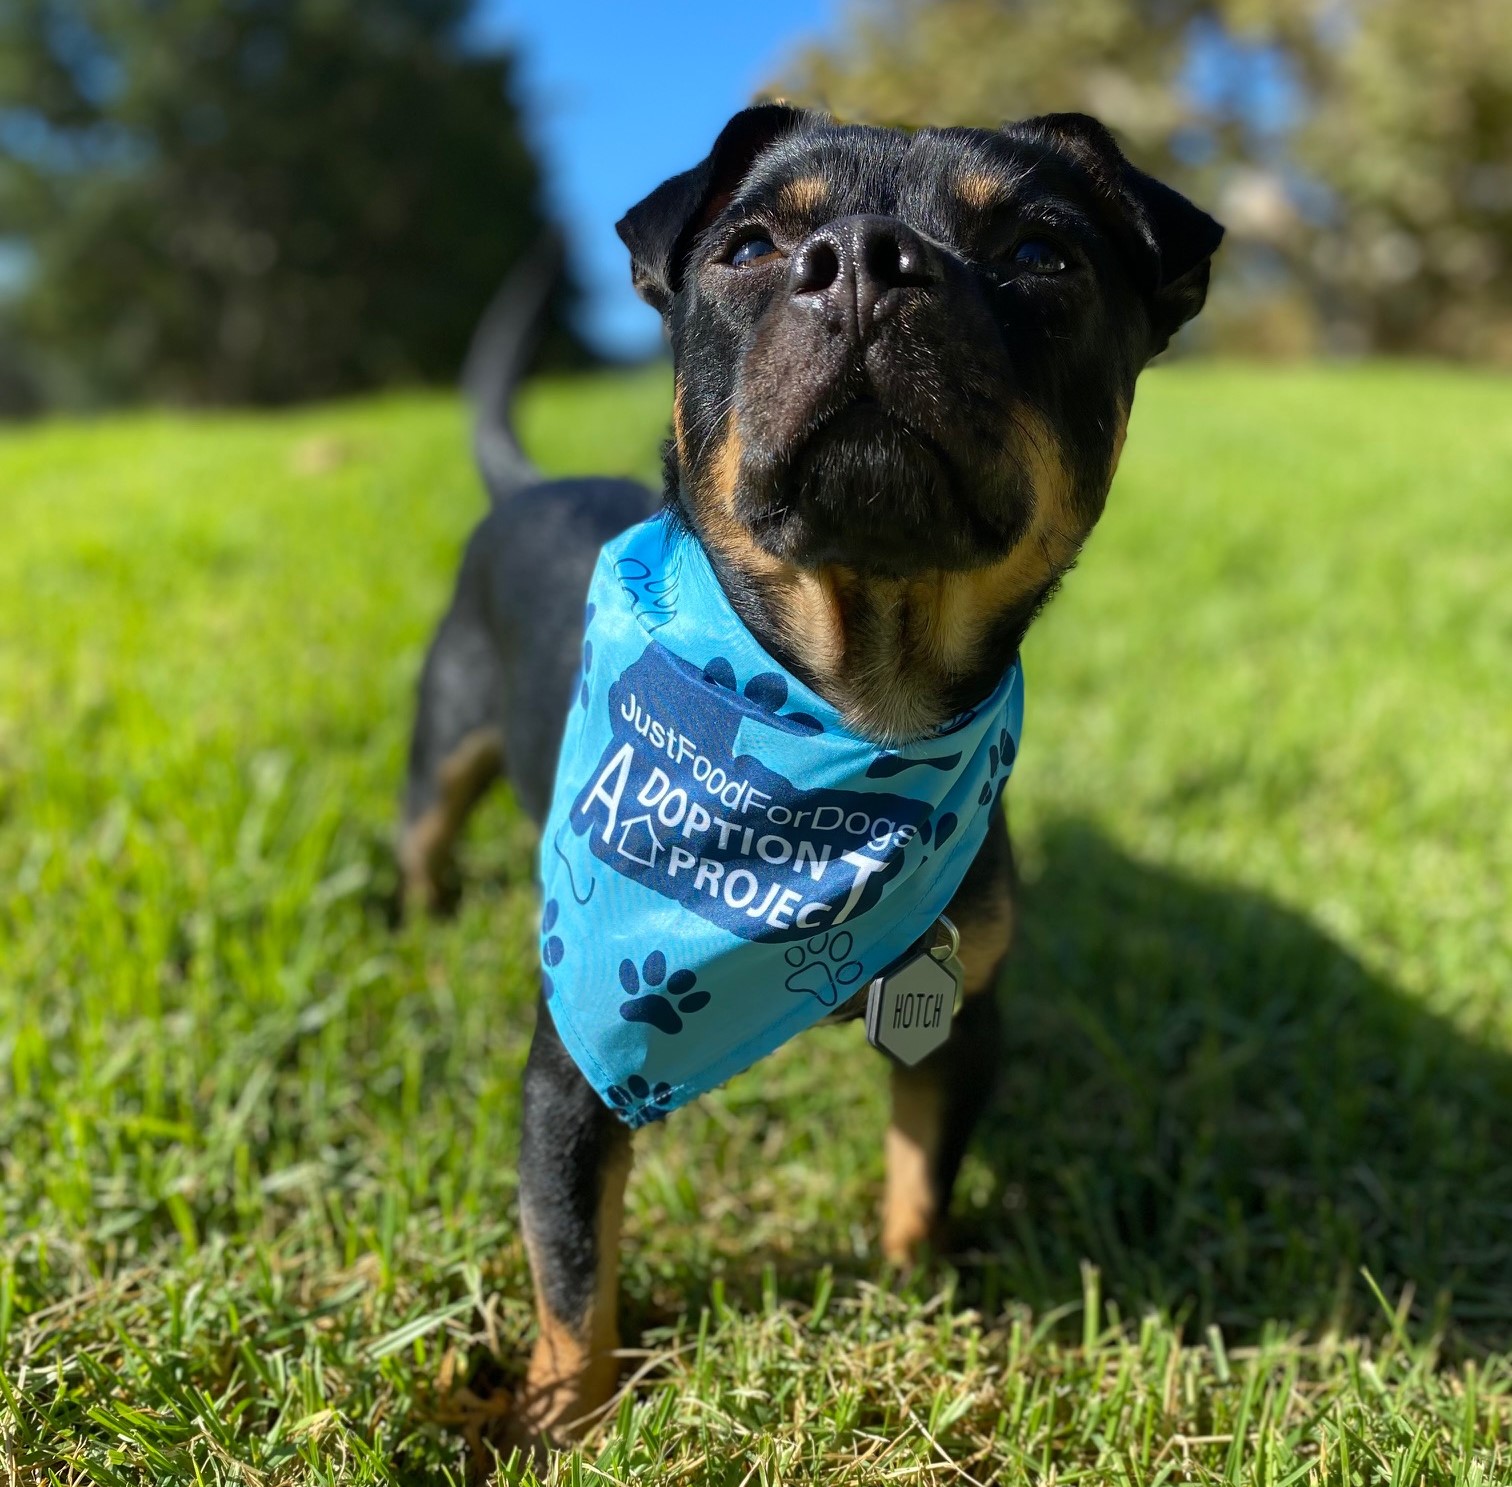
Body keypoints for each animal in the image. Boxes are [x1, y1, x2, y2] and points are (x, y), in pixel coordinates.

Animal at [399, 102, 1215, 1440]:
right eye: (747, 247)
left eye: (1043, 253)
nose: (868, 259)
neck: (846, 716)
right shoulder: (572, 1070)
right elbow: (571, 1266)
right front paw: (562, 1419)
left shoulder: (967, 1014)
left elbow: (922, 1171)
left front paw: (913, 1289)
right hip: (440, 745)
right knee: (419, 837)